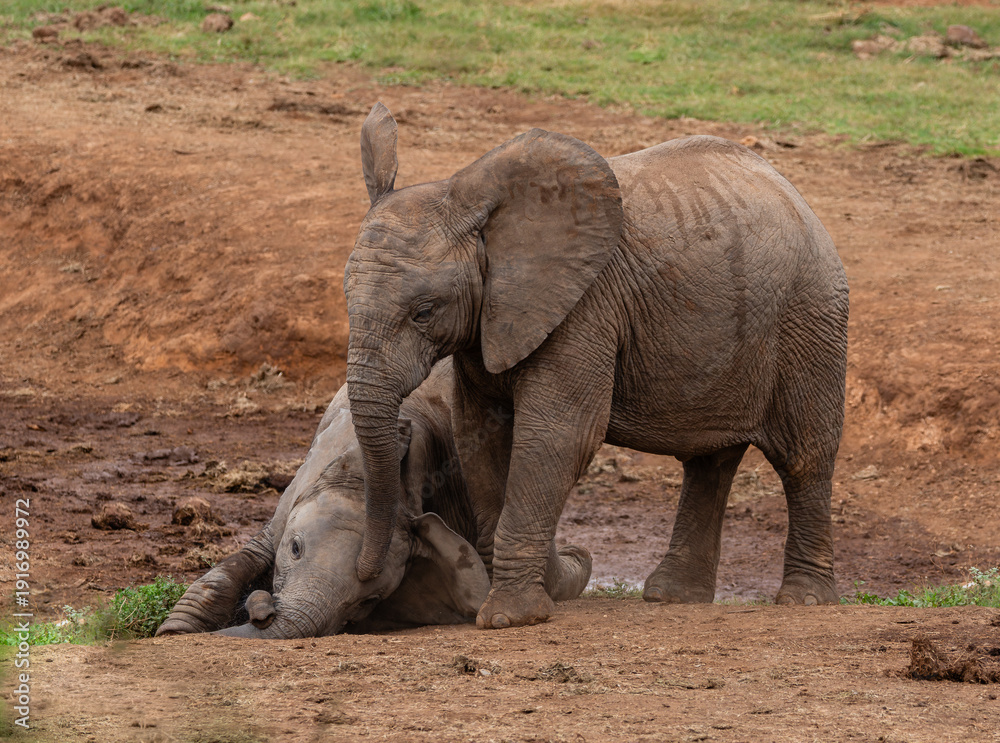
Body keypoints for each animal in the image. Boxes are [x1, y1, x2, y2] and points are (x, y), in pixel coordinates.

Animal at [343, 103, 850, 630]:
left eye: (424, 312)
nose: (365, 575)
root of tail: (799, 199)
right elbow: (479, 437)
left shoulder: (585, 307)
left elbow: (558, 434)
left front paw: (508, 619)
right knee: (709, 459)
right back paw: (672, 597)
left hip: (809, 314)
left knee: (805, 456)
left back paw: (804, 600)